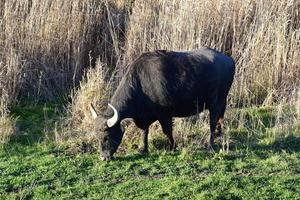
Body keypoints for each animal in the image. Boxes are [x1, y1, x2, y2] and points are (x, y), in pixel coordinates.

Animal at [89, 46, 234, 160]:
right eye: (96, 137)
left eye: (106, 137)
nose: (103, 158)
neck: (141, 83)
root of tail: (228, 59)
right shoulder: (144, 116)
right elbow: (145, 131)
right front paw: (144, 149)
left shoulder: (165, 115)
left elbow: (167, 131)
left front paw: (173, 146)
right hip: (222, 102)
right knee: (220, 118)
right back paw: (220, 135)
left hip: (216, 103)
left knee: (212, 122)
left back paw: (210, 145)